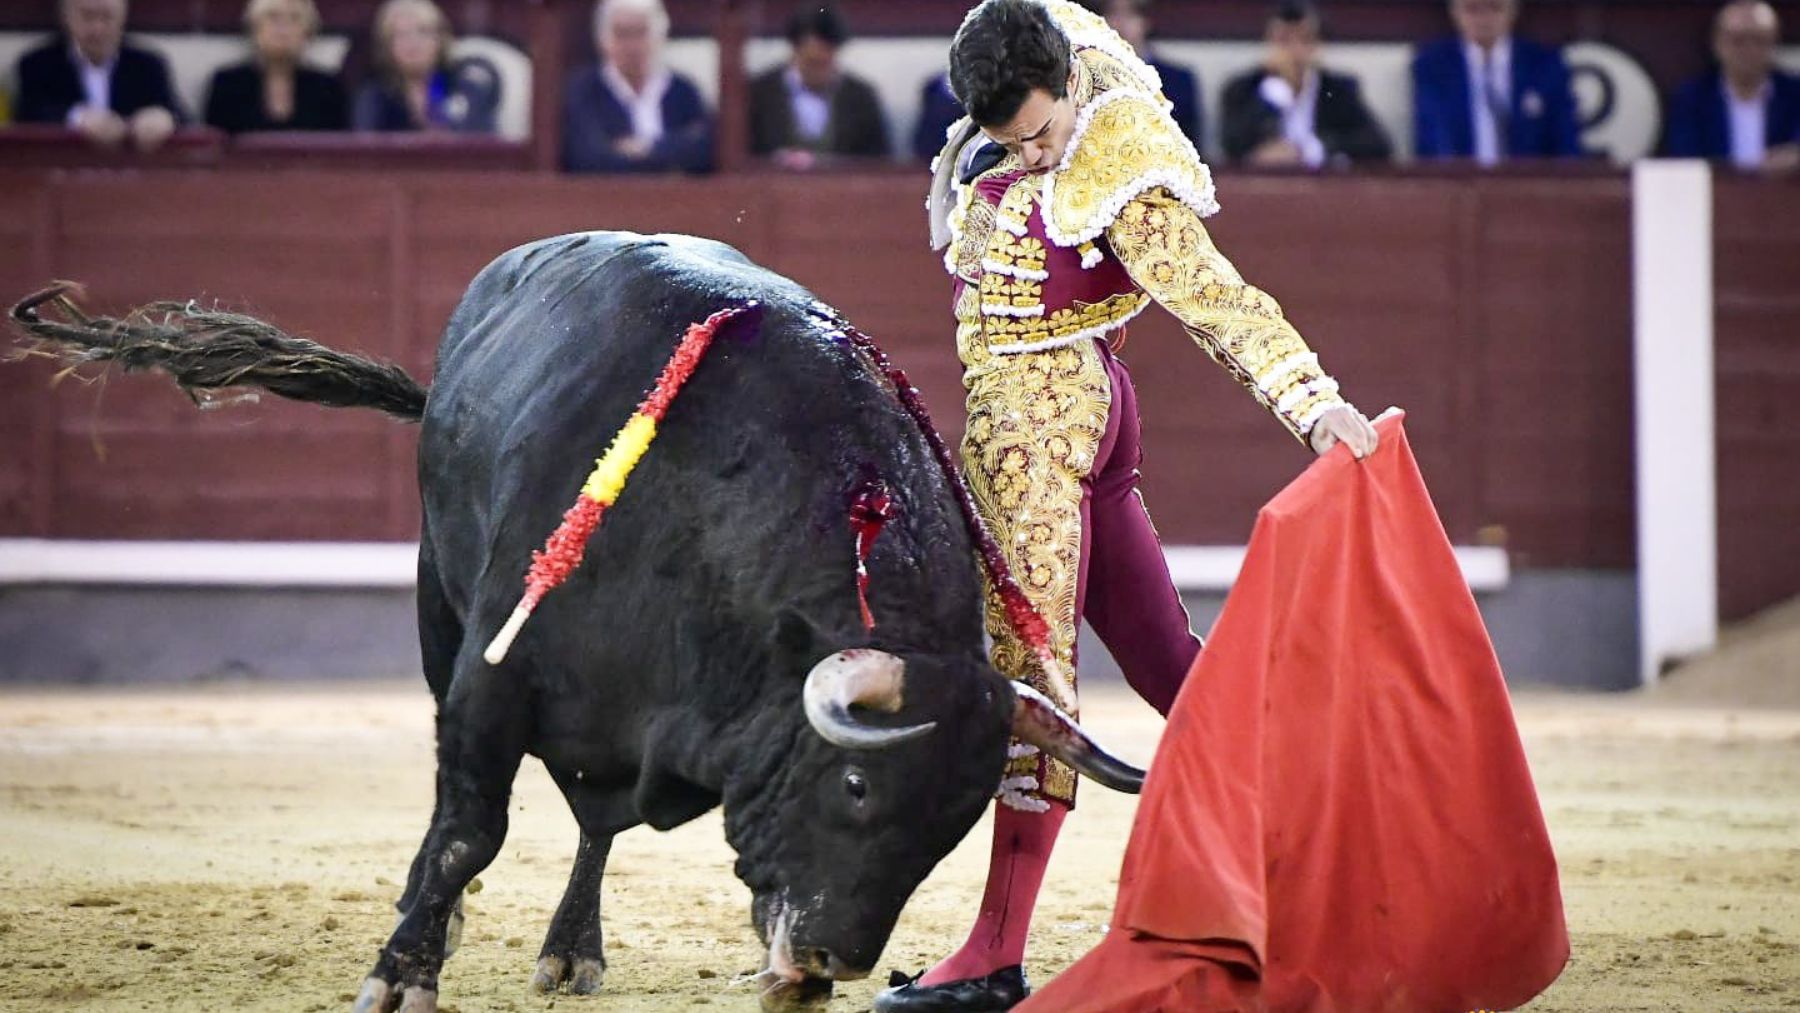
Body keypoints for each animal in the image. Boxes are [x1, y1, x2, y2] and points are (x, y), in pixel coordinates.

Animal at [7, 230, 1144, 1013]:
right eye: (859, 784)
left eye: (958, 819)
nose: (836, 957)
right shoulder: (492, 673)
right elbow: (467, 828)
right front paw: (403, 971)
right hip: (436, 602)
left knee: (596, 823)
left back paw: (573, 944)